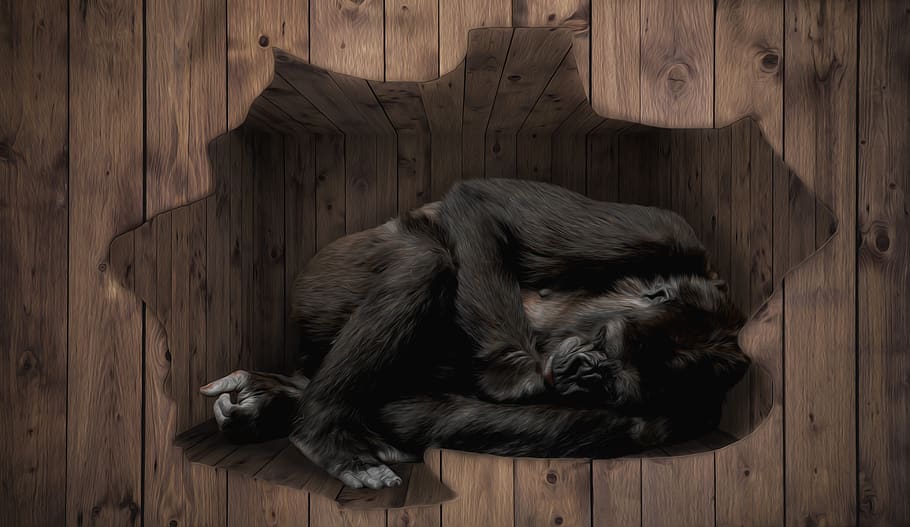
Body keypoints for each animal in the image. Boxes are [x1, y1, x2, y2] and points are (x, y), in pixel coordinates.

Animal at [200, 178, 750, 489]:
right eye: (606, 346)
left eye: (614, 384)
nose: (589, 373)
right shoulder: (666, 234)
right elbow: (482, 204)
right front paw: (518, 376)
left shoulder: (680, 420)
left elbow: (428, 415)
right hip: (320, 280)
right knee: (423, 260)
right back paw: (322, 434)